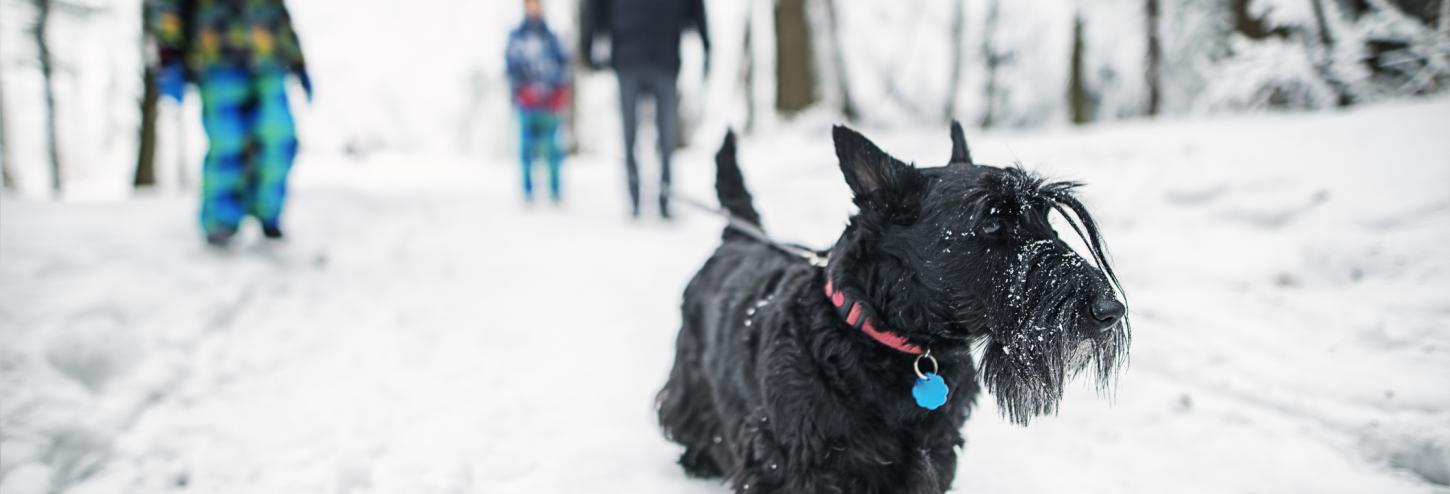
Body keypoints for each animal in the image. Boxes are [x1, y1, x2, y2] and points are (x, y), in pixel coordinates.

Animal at [661, 122, 1131, 489]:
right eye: (993, 222)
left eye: (1047, 218)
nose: (1109, 310)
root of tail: (737, 237)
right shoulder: (790, 460)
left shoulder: (933, 454)